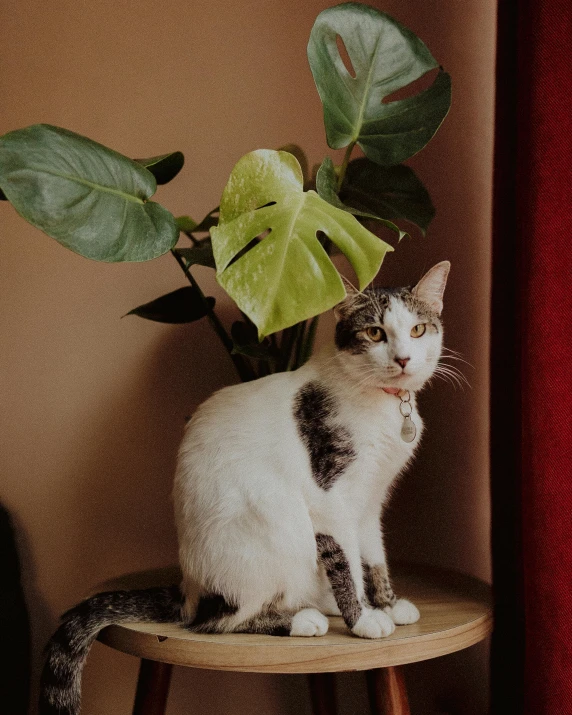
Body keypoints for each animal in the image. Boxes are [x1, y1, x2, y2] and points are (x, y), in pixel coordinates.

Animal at [39, 262, 452, 715]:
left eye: (417, 330)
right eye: (375, 333)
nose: (403, 359)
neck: (384, 405)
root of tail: (188, 588)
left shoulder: (370, 500)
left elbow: (372, 556)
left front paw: (387, 604)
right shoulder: (330, 498)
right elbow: (346, 562)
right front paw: (362, 617)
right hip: (280, 522)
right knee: (215, 621)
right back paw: (303, 619)